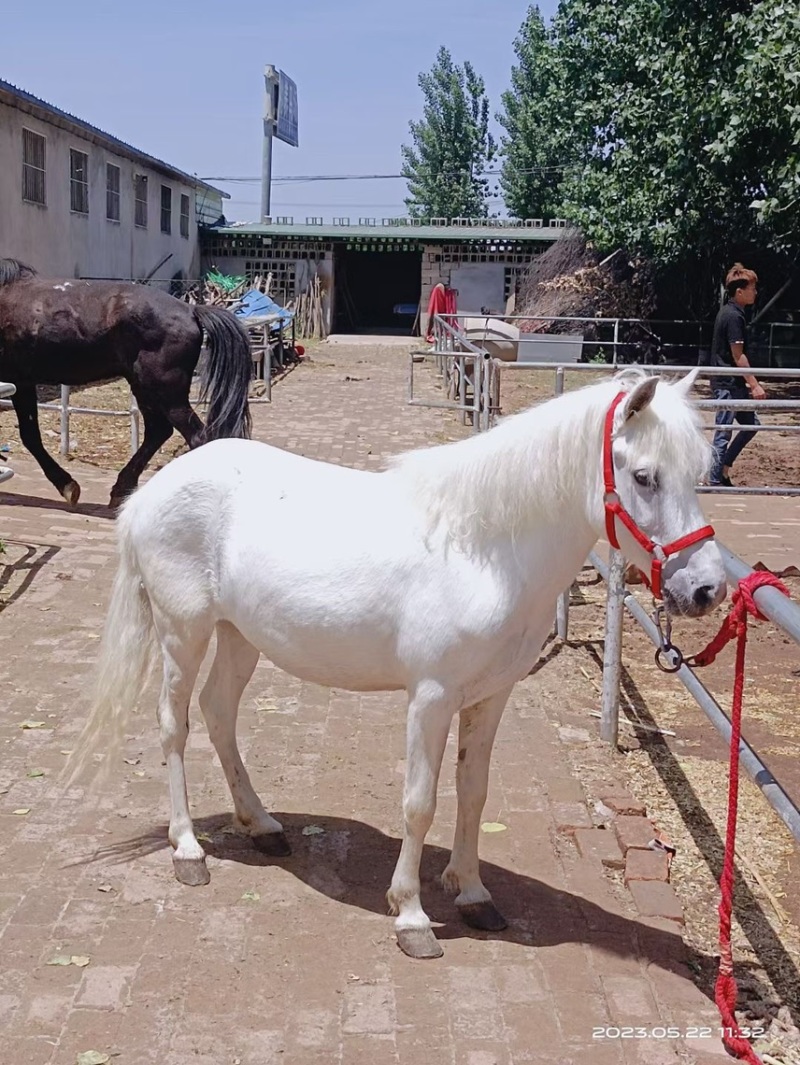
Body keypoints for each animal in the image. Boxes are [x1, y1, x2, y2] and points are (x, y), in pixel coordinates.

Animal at [0, 259, 252, 507]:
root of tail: (191, 310)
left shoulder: (19, 381)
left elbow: (30, 437)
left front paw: (67, 486)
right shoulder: (23, 382)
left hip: (165, 392)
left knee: (197, 436)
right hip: (143, 387)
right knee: (158, 431)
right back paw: (121, 490)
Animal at [69, 369, 726, 959]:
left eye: (697, 476)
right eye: (643, 477)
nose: (707, 590)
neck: (482, 551)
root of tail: (152, 491)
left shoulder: (491, 696)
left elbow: (473, 793)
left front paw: (473, 894)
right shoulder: (431, 698)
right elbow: (421, 802)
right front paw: (411, 915)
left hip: (239, 636)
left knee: (218, 713)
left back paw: (262, 826)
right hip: (184, 633)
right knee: (174, 725)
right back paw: (188, 850)